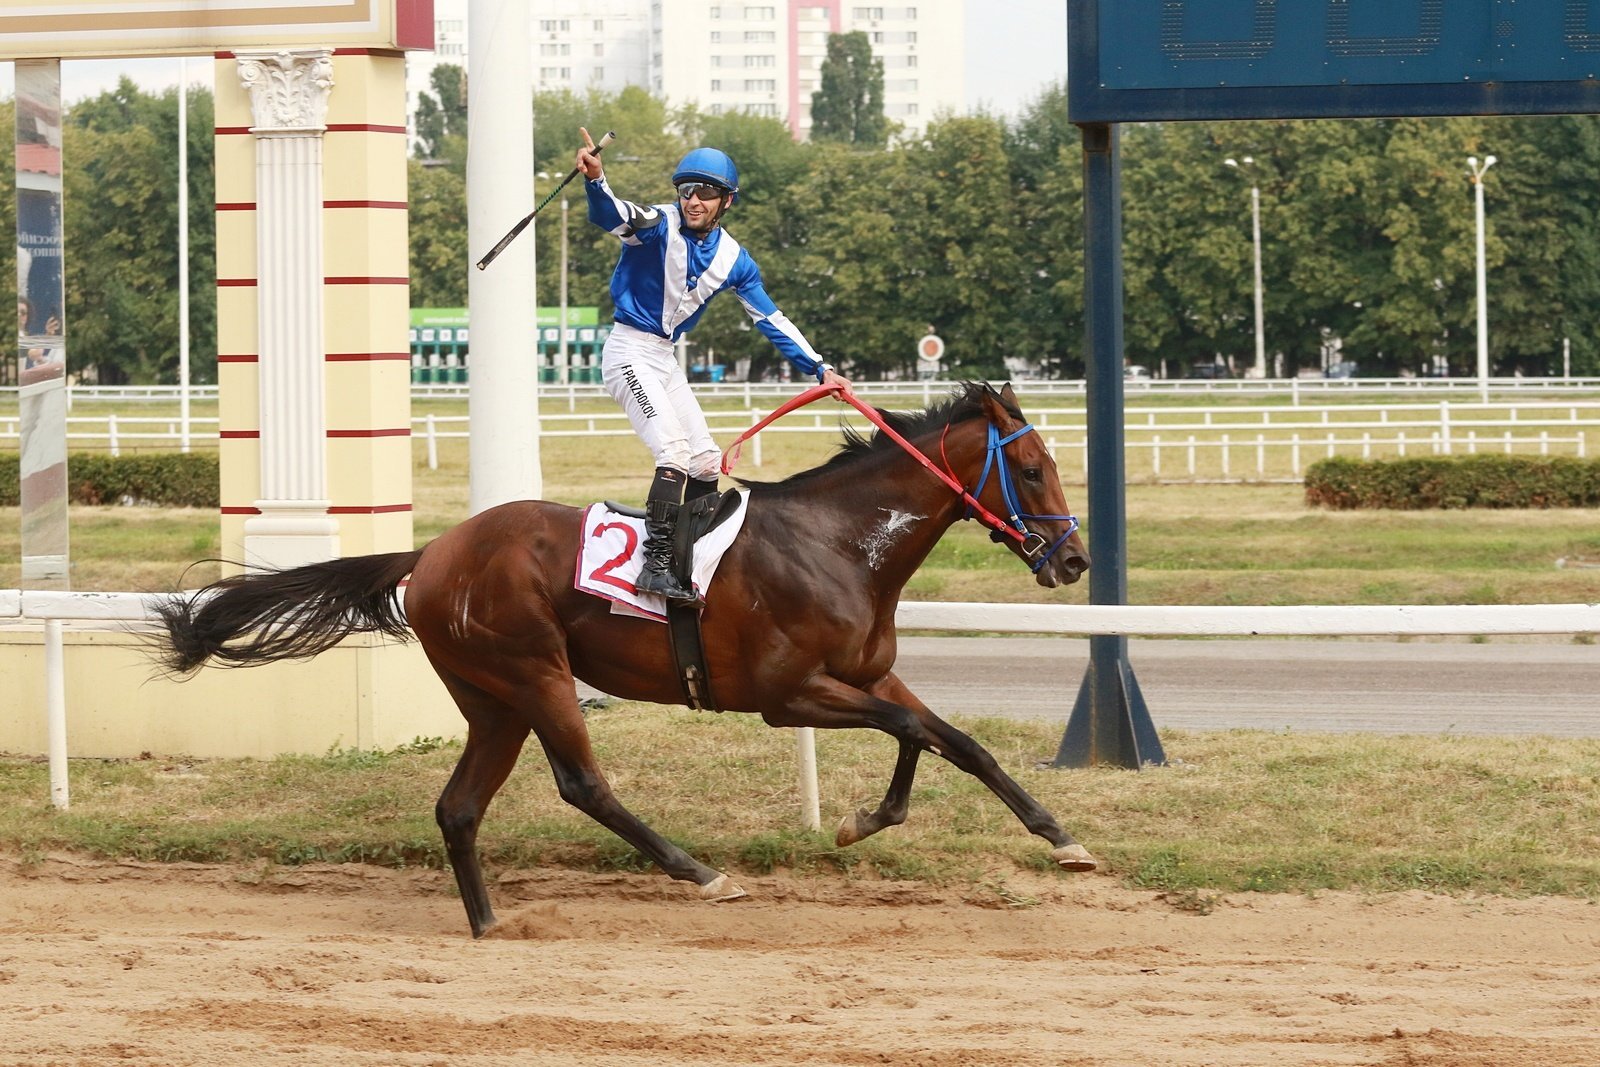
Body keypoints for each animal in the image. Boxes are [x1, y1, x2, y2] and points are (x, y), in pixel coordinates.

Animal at [150, 382, 1094, 934]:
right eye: (1033, 468)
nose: (1076, 559)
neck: (840, 542)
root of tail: (432, 553)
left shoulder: (865, 672)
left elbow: (953, 740)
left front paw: (1058, 835)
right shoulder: (789, 695)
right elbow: (912, 729)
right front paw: (867, 818)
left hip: (492, 697)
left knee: (459, 807)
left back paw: (489, 923)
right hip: (534, 671)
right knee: (583, 784)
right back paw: (700, 872)